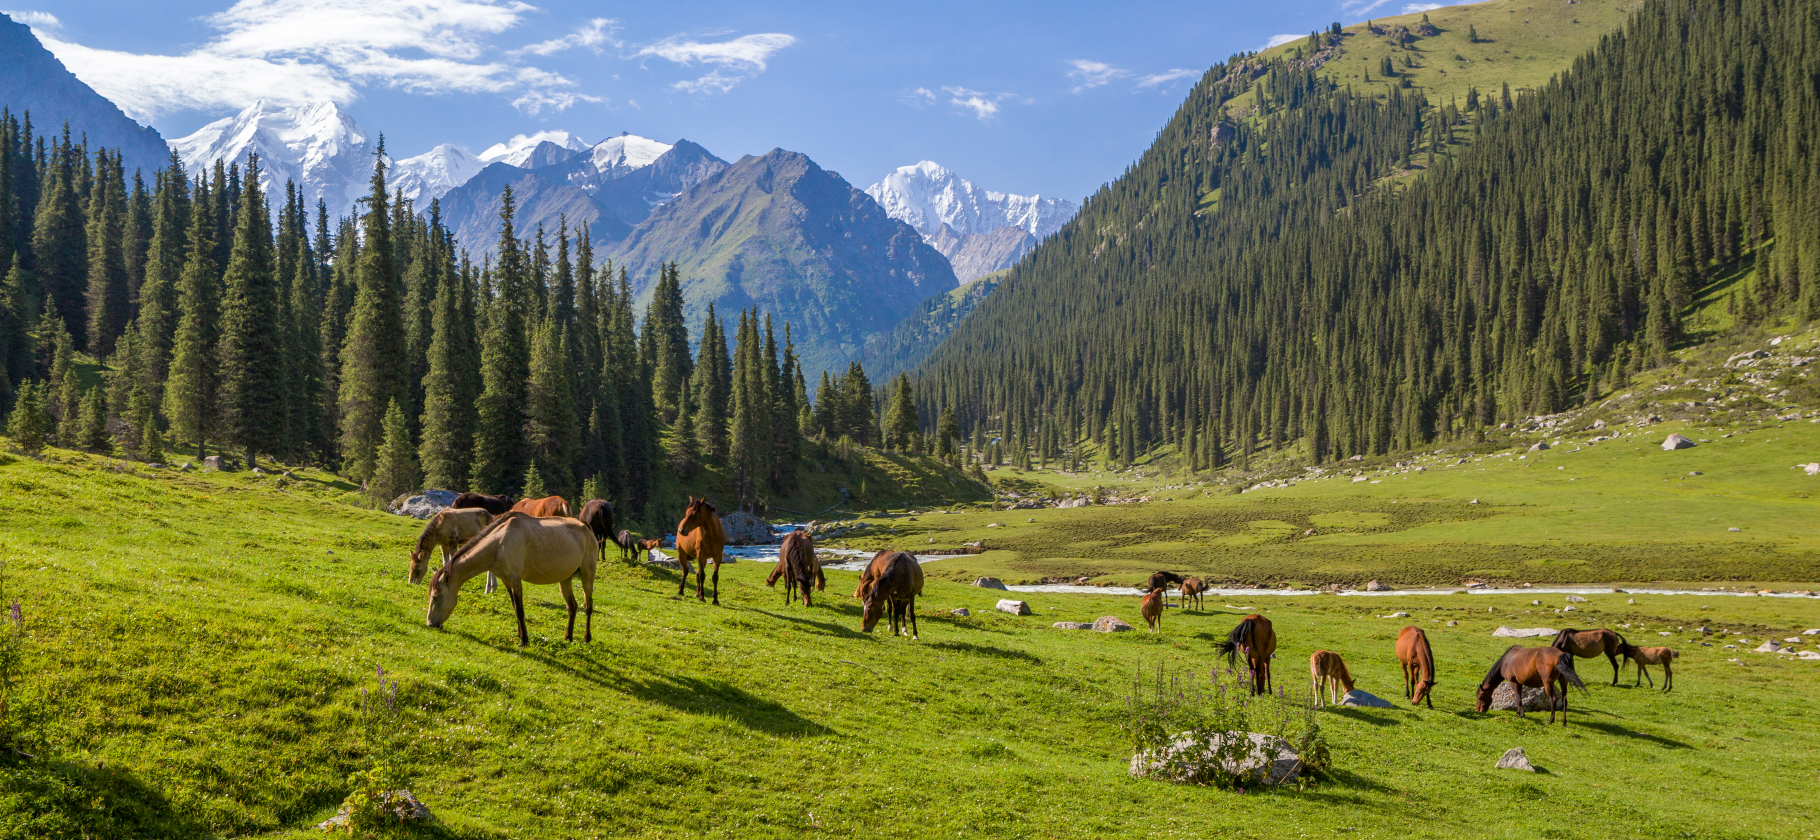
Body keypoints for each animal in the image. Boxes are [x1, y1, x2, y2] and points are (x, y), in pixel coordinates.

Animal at [425, 509, 596, 647]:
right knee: (572, 606)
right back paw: (568, 637)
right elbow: (514, 607)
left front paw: (524, 640)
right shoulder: (506, 580)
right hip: (565, 578)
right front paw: (520, 635)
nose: (430, 624)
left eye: (435, 596)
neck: (499, 543)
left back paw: (587, 638)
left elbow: (520, 610)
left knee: (588, 605)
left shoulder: (515, 579)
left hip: (588, 574)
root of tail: (588, 531)